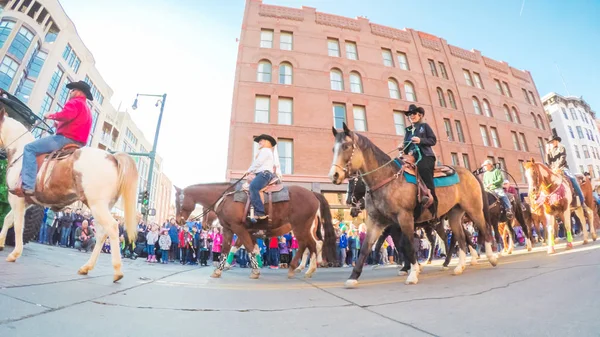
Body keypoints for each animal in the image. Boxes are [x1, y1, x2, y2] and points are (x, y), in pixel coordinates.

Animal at [0, 111, 138, 280]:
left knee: (112, 228)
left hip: (97, 205)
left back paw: (117, 271)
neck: (19, 152)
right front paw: (1, 243)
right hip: (101, 207)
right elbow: (8, 220)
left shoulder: (17, 198)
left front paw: (15, 253)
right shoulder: (26, 202)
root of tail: (112, 157)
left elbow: (18, 225)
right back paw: (86, 267)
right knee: (101, 234)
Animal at [176, 182, 340, 276]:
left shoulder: (239, 228)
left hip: (301, 226)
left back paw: (302, 267)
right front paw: (220, 269)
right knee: (311, 244)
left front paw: (255, 269)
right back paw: (305, 267)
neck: (228, 198)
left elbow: (247, 248)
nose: (178, 220)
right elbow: (229, 249)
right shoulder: (232, 230)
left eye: (179, 201)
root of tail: (313, 194)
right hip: (304, 228)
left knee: (309, 244)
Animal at [328, 123, 496, 286]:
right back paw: (459, 266)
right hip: (454, 215)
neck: (386, 178)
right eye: (333, 149)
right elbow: (366, 248)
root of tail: (470, 173)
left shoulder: (404, 219)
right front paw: (353, 277)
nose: (333, 176)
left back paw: (490, 258)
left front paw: (413, 272)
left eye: (346, 146)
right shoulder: (377, 221)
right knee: (460, 238)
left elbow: (408, 245)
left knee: (484, 229)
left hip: (473, 209)